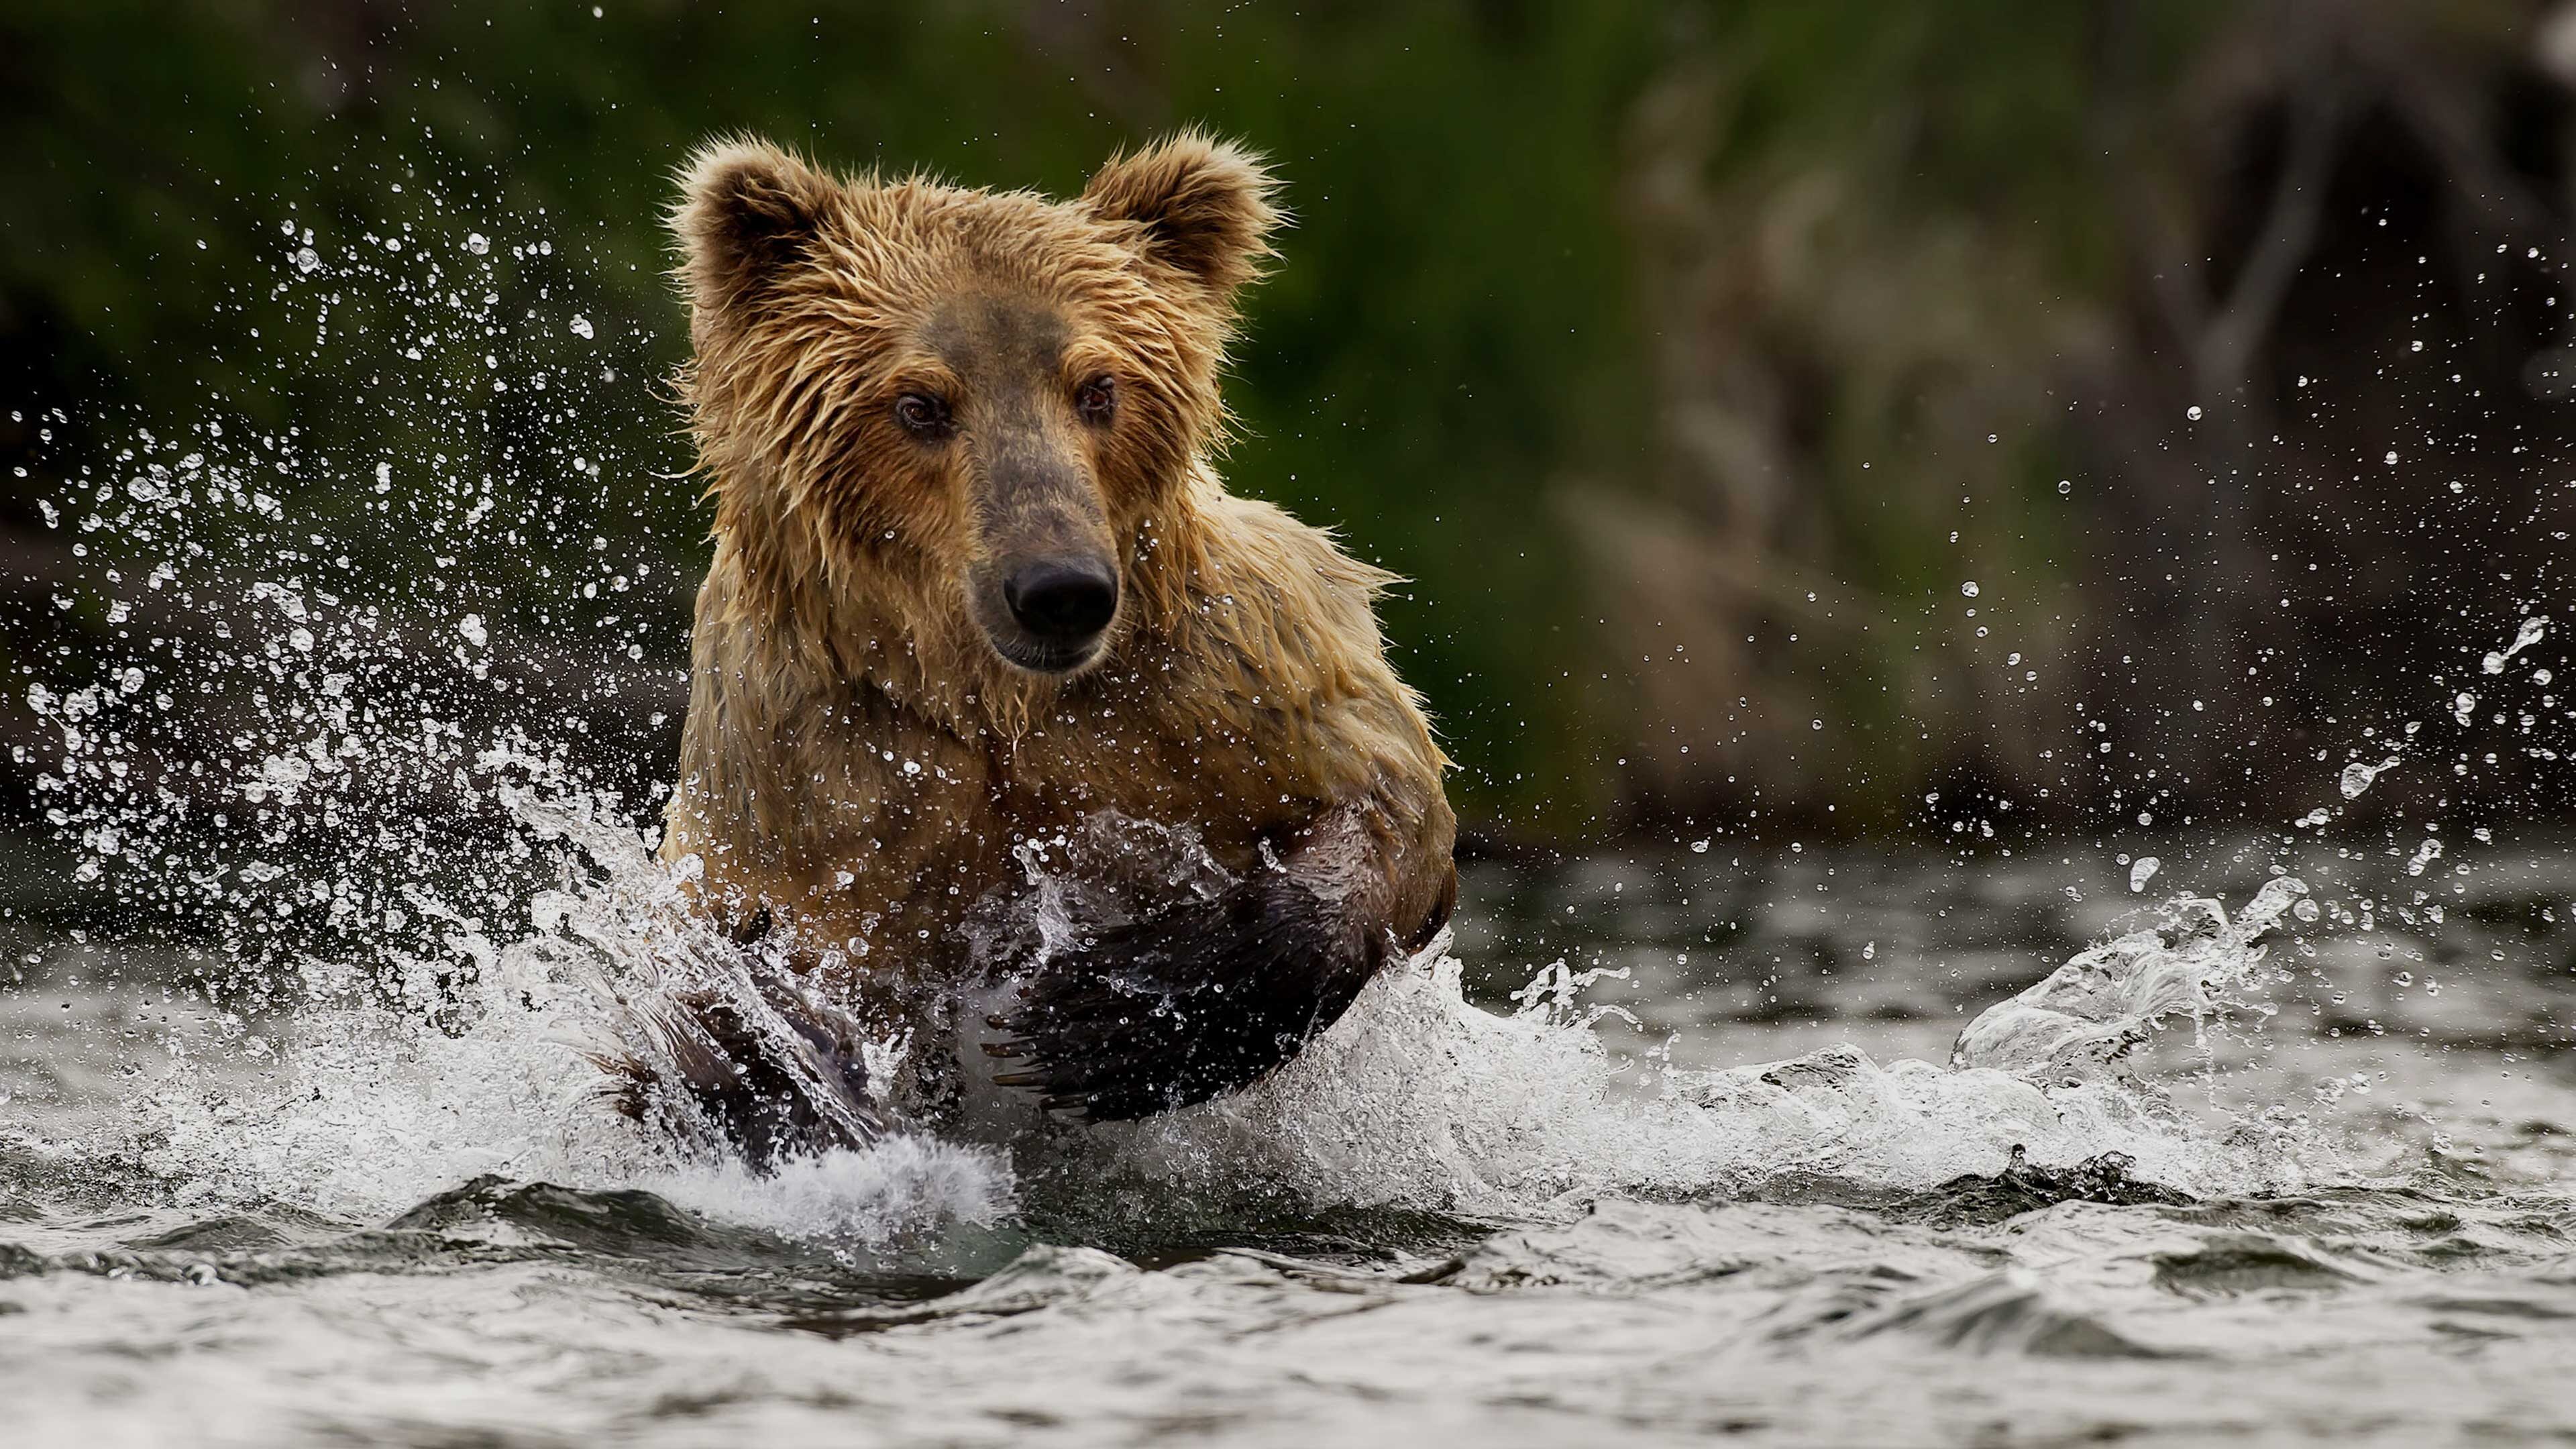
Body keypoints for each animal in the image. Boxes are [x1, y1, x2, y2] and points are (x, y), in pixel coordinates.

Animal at [628, 129, 1452, 1155]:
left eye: (1099, 387)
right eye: (920, 403)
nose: (1060, 591)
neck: (992, 698)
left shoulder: (1216, 680)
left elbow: (1388, 798)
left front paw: (1110, 1019)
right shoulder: (810, 768)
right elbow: (730, 995)